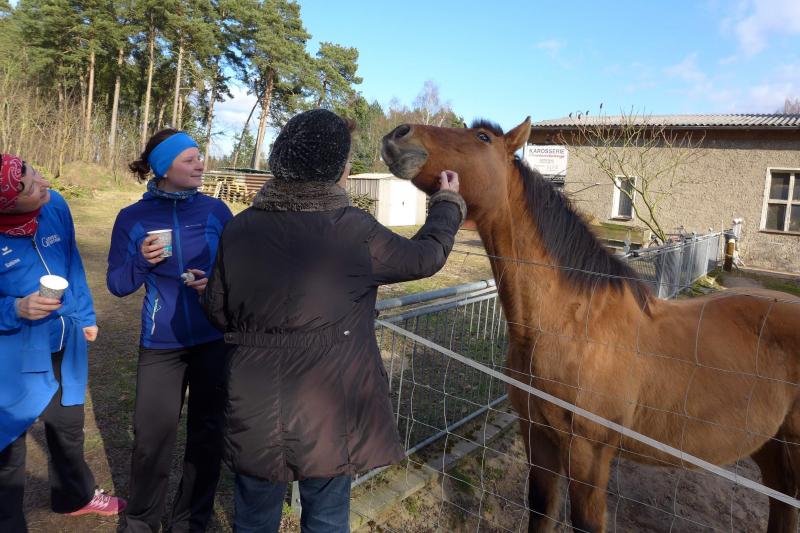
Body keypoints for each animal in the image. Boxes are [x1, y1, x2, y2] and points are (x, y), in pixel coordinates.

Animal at [381, 118, 800, 532]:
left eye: (482, 137)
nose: (398, 134)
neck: (571, 324)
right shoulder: (538, 435)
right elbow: (541, 510)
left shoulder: (590, 453)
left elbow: (585, 522)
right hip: (772, 452)